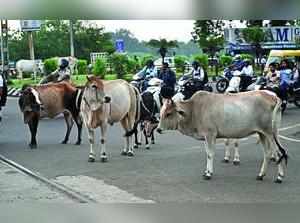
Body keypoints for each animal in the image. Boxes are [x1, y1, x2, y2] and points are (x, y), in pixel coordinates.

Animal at [159, 89, 288, 184]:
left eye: (168, 114)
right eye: (161, 113)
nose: (158, 129)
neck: (194, 109)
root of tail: (273, 96)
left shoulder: (210, 134)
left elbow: (210, 154)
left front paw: (208, 174)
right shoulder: (205, 137)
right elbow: (207, 153)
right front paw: (206, 171)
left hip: (270, 133)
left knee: (278, 153)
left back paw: (279, 177)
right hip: (264, 133)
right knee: (267, 153)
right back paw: (261, 175)